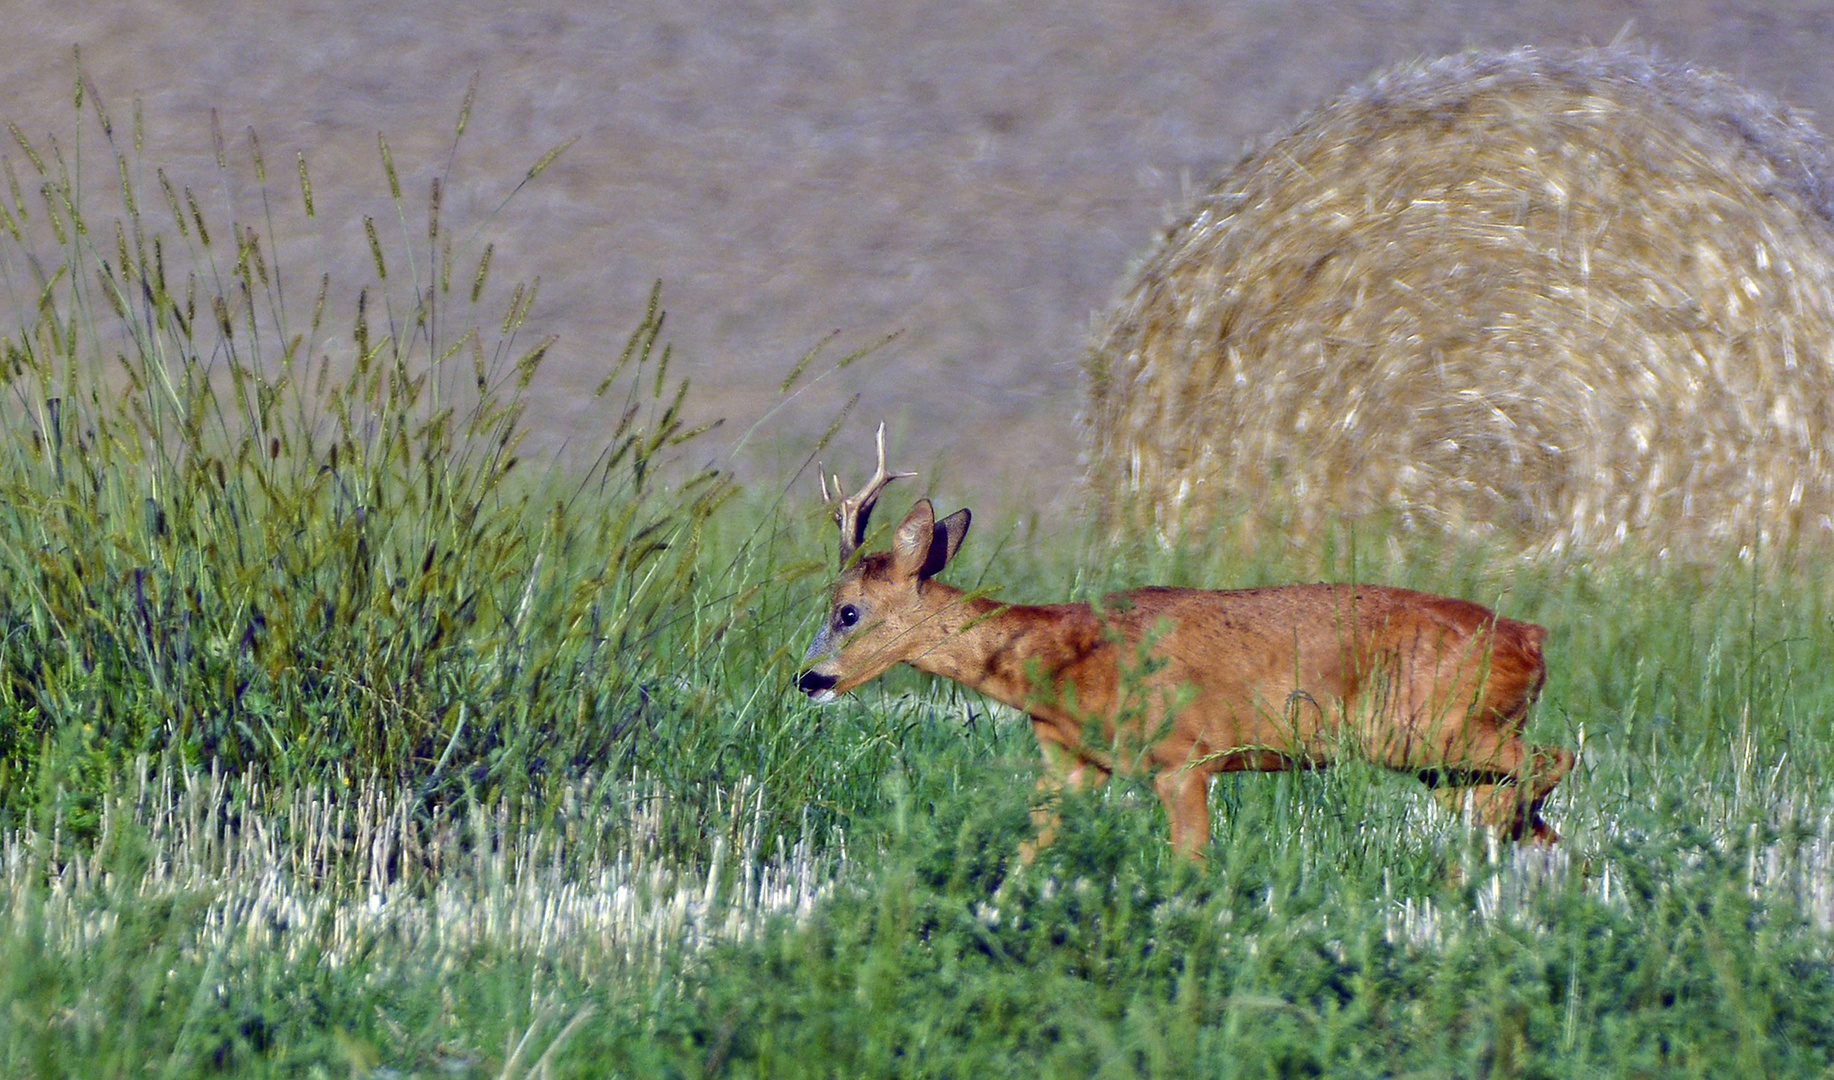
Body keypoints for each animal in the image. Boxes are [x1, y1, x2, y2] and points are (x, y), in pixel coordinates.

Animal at [795, 425, 1569, 854]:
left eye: (848, 611)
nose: (809, 679)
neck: (1060, 663)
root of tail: (1534, 637)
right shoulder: (1076, 764)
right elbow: (1026, 850)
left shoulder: (1183, 757)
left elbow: (1189, 871)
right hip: (1441, 760)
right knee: (1553, 830)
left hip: (1437, 728)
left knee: (1552, 762)